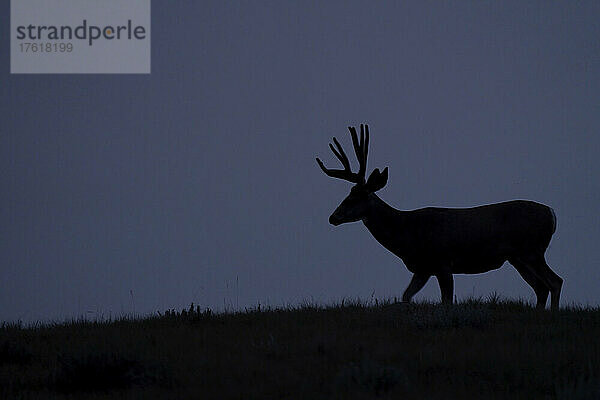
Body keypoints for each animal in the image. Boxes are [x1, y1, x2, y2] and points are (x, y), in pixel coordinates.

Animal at [318, 123, 564, 310]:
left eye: (355, 197)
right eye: (347, 194)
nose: (333, 217)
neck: (406, 232)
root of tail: (551, 214)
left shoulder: (443, 261)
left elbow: (446, 301)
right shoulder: (423, 268)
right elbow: (406, 296)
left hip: (531, 250)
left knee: (555, 281)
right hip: (517, 257)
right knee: (541, 287)